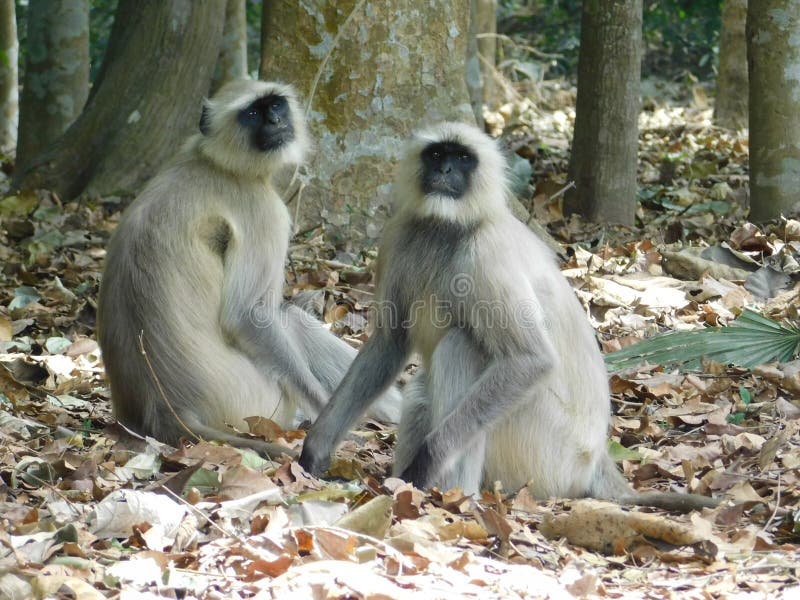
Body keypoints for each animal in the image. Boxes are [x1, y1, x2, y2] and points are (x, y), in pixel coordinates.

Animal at [97, 79, 400, 459]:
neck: (216, 163)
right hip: (257, 400)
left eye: (276, 105)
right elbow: (247, 316)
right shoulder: (262, 209)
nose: (275, 121)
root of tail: (166, 409)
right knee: (289, 320)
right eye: (254, 113)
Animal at [299, 122, 718, 512]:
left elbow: (532, 360)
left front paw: (424, 465)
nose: (445, 170)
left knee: (462, 346)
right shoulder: (398, 236)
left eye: (462, 157)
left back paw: (452, 496)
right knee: (423, 389)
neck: (447, 227)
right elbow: (389, 343)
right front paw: (314, 450)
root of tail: (596, 457)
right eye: (436, 155)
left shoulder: (487, 254)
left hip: (544, 447)